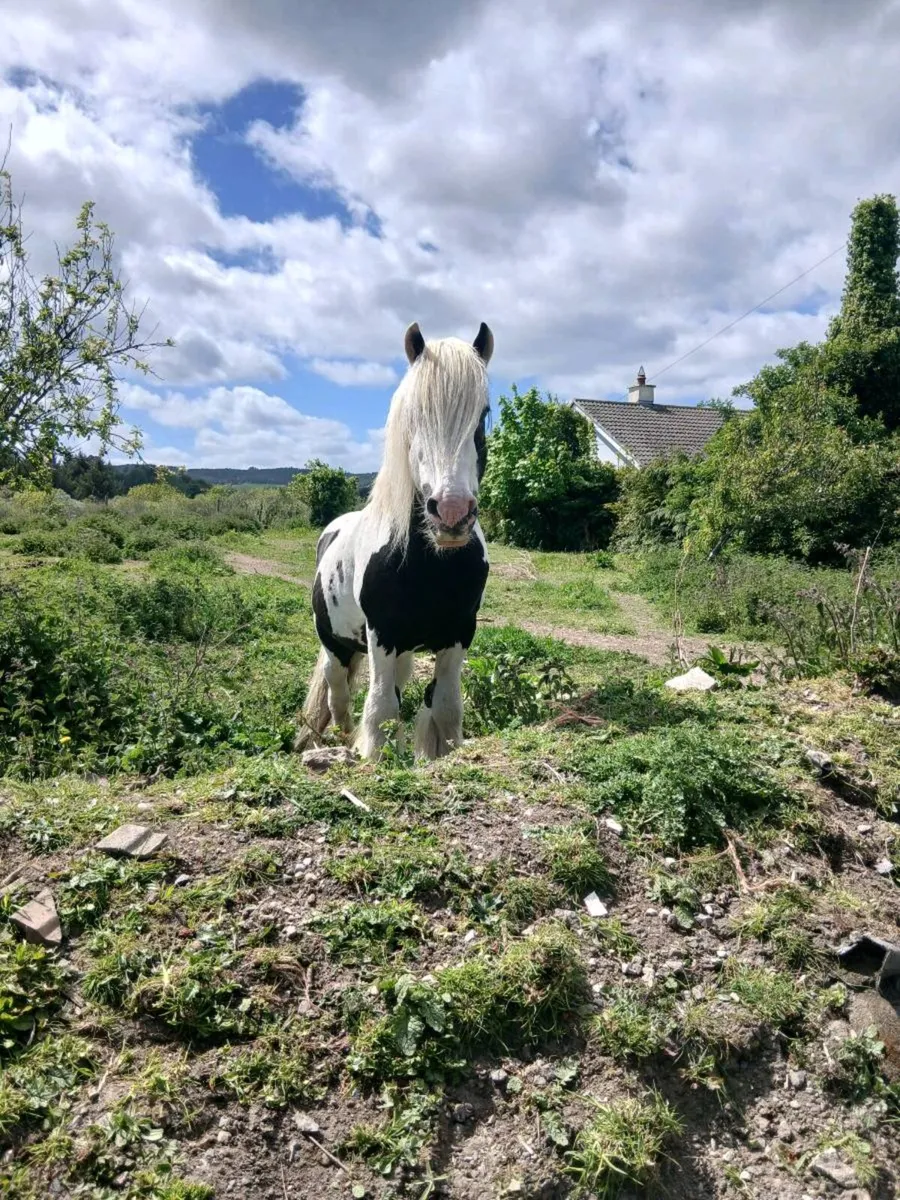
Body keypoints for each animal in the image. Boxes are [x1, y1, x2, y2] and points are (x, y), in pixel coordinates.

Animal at [295, 320, 494, 760]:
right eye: (415, 414)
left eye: (484, 414)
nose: (451, 513)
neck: (431, 566)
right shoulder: (382, 635)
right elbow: (381, 709)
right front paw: (370, 755)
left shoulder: (459, 632)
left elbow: (445, 707)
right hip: (335, 644)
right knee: (338, 694)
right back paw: (340, 738)